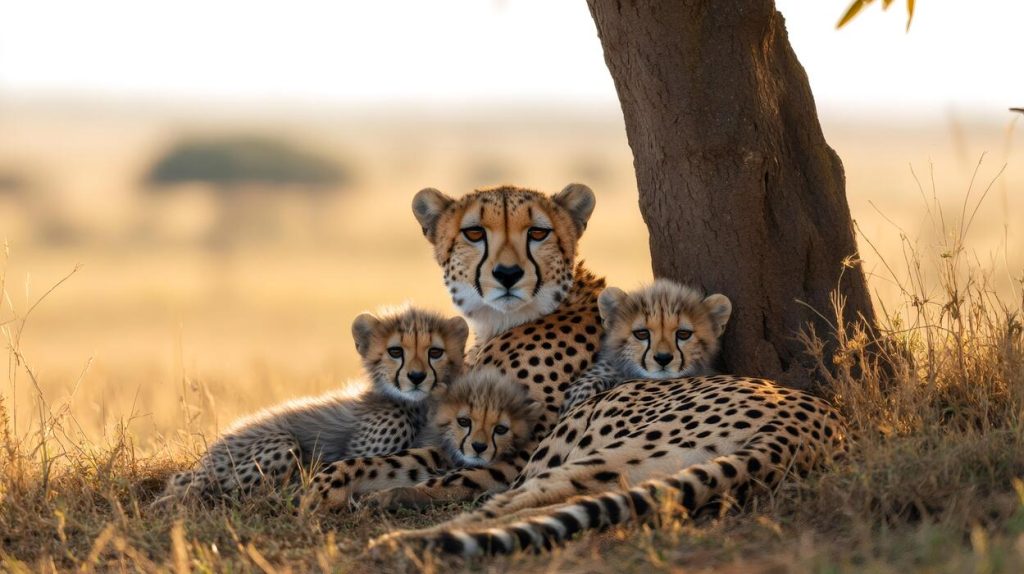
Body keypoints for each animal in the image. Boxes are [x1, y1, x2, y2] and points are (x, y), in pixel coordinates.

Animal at [157, 307, 468, 503]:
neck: (415, 404)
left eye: (435, 352)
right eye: (395, 351)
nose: (416, 377)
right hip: (279, 445)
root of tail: (207, 457)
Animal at [302, 183, 608, 511]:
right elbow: (396, 462)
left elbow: (445, 472)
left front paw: (353, 491)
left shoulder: (516, 441)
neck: (499, 321)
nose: (508, 274)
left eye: (539, 233)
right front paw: (330, 486)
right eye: (474, 233)